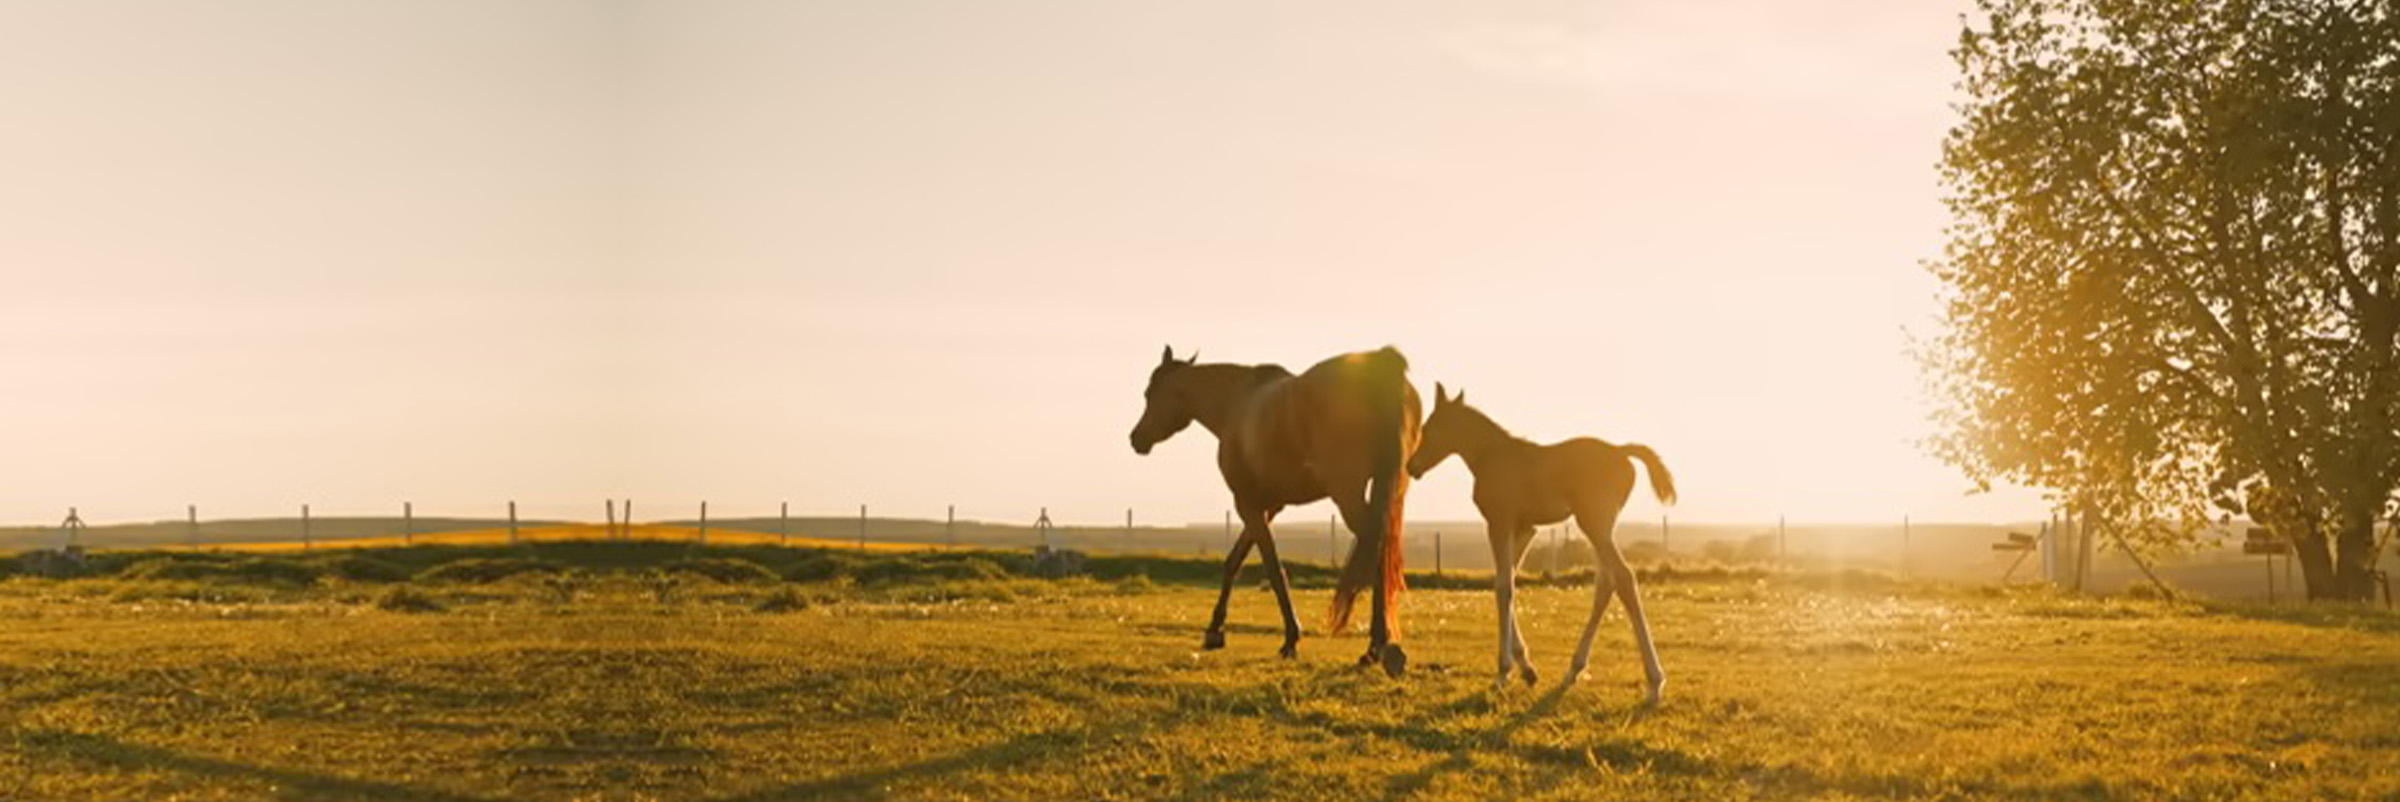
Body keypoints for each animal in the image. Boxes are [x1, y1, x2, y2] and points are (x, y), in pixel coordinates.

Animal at [1128, 345, 1420, 676]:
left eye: (1150, 394)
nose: (1136, 438)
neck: (1235, 402)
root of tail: (1383, 364)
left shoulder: (1247, 505)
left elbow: (1272, 567)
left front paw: (1290, 639)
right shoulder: (1266, 506)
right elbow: (1233, 561)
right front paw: (1214, 630)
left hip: (1347, 494)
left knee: (1375, 549)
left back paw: (1377, 647)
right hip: (1391, 488)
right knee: (1383, 552)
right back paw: (1378, 647)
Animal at [1405, 383, 1676, 703]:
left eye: (1429, 427)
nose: (1412, 466)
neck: (1491, 456)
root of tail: (1622, 451)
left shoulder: (1499, 522)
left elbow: (1504, 586)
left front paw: (1503, 671)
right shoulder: (1525, 529)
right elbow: (1505, 580)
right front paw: (1526, 668)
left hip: (1594, 524)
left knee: (1623, 577)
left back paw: (1654, 682)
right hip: (1602, 527)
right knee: (1606, 583)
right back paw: (1574, 670)